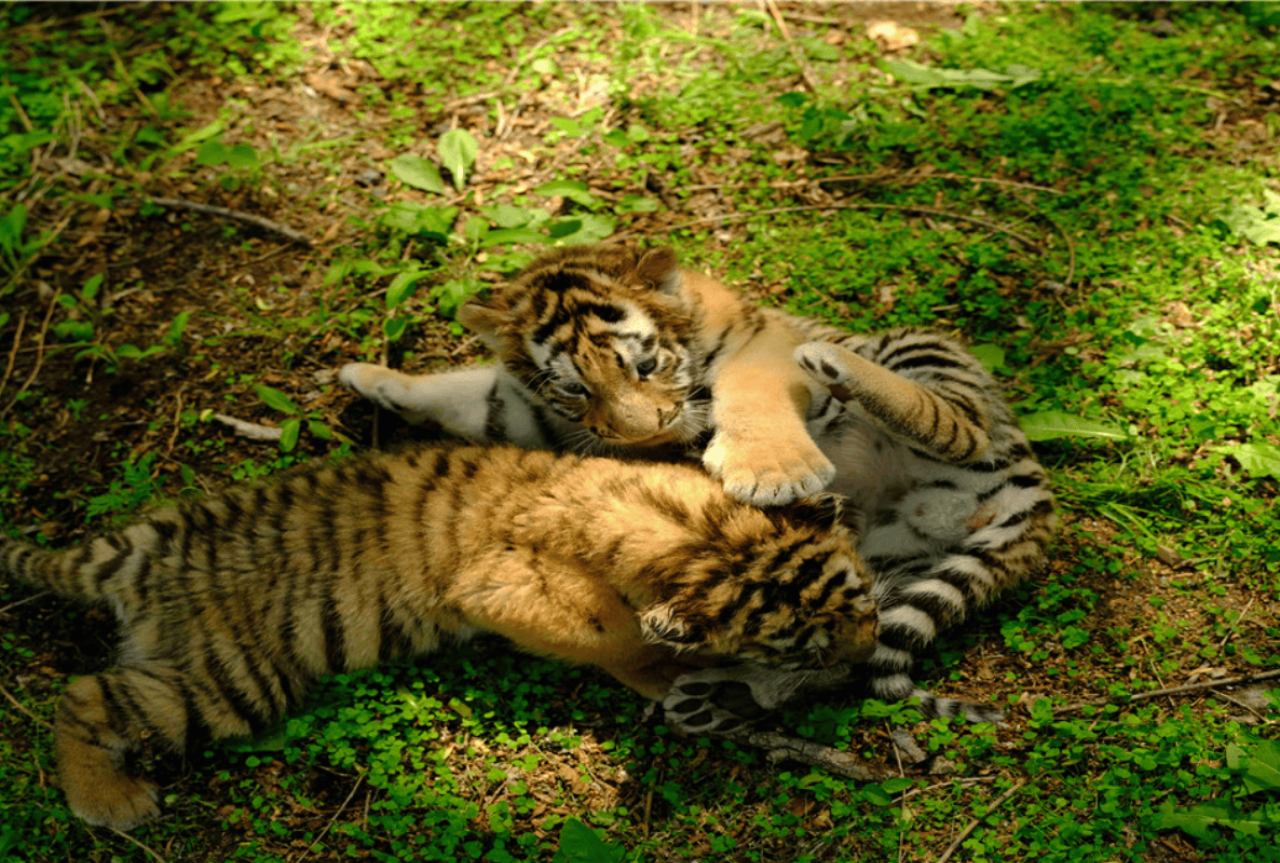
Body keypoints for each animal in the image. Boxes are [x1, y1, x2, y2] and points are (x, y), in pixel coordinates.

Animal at [1, 444, 879, 831]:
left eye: (866, 601)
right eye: (802, 649)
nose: (867, 659)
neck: (701, 537)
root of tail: (138, 551)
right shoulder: (504, 590)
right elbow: (616, 634)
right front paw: (667, 672)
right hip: (234, 675)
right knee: (83, 692)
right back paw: (109, 801)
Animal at [339, 244, 1057, 732]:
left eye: (646, 363)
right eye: (573, 386)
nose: (645, 436)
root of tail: (1033, 496)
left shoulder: (756, 344)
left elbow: (747, 389)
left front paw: (771, 471)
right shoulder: (528, 410)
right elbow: (466, 393)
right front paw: (369, 376)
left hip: (926, 352)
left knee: (957, 428)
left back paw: (835, 364)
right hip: (883, 559)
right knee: (845, 651)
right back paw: (721, 694)